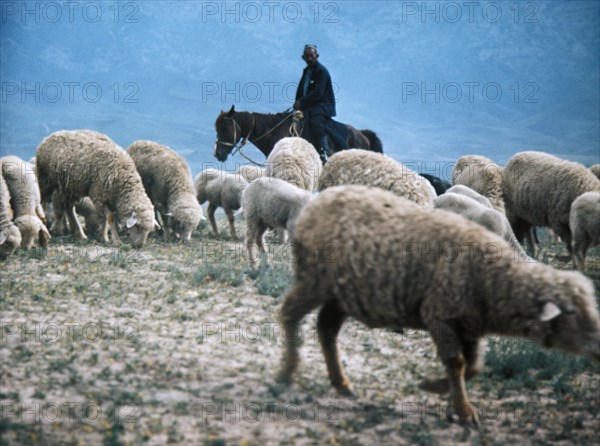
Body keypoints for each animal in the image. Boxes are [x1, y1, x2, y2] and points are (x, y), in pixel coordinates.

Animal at [278, 184, 600, 426]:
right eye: (572, 313)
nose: (597, 345)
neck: (493, 278)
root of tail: (320, 199)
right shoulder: (441, 316)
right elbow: (456, 363)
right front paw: (464, 411)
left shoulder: (469, 325)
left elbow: (473, 366)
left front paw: (440, 391)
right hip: (315, 280)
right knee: (289, 313)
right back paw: (287, 373)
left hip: (342, 294)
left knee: (326, 330)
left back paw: (341, 383)